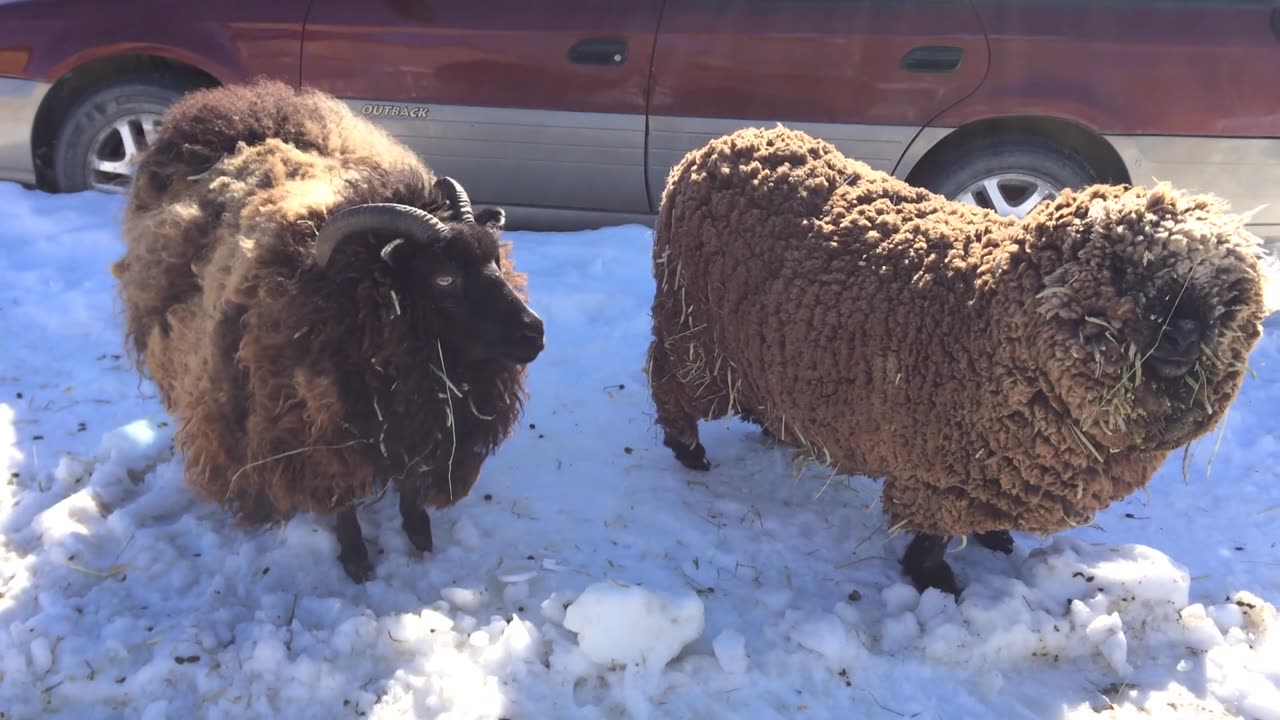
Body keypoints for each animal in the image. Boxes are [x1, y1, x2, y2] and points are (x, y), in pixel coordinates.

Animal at [110, 79, 545, 584]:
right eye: (444, 278)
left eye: (496, 259)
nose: (535, 333)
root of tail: (220, 106)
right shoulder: (319, 432)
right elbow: (342, 501)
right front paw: (356, 559)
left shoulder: (419, 424)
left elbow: (410, 487)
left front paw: (418, 535)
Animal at [650, 124, 1269, 594]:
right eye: (1126, 274)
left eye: (1231, 297)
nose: (1185, 331)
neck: (994, 313)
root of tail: (718, 146)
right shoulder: (940, 469)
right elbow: (933, 535)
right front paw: (935, 579)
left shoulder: (993, 473)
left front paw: (995, 540)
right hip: (695, 335)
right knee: (670, 385)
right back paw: (690, 452)